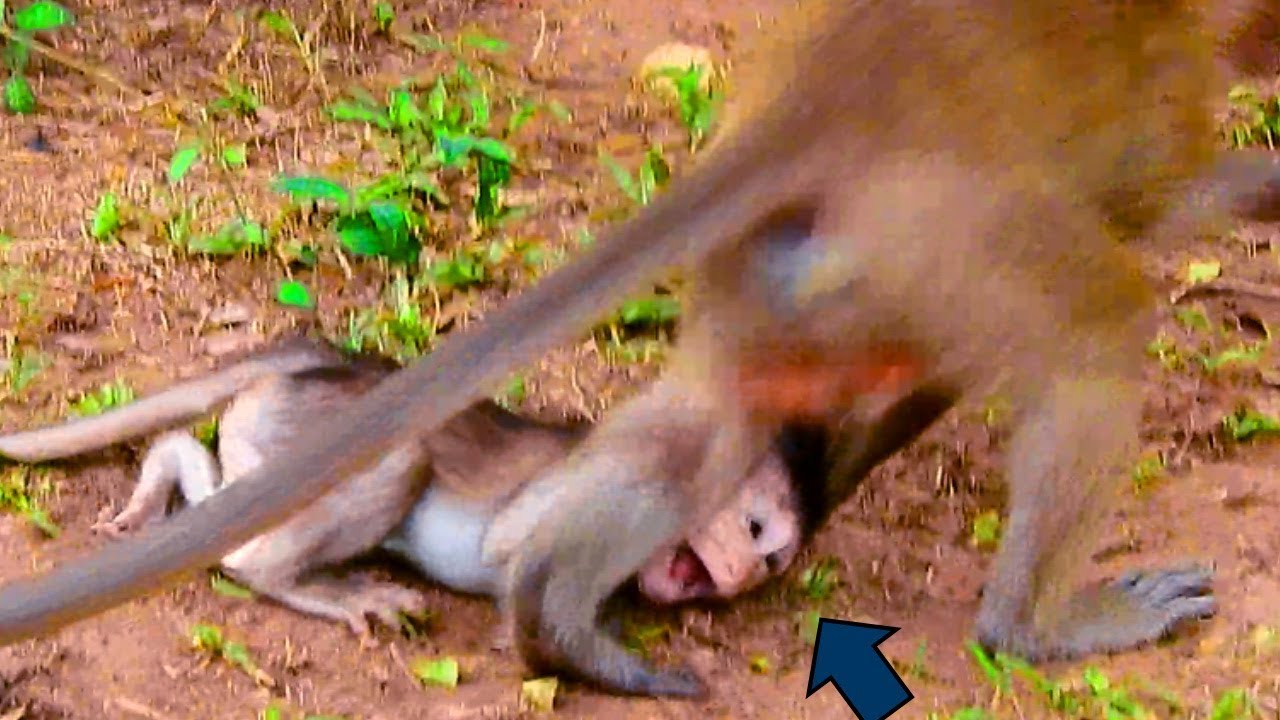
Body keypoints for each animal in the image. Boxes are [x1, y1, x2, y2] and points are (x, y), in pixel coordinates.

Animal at [1, 337, 805, 636]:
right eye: (757, 530)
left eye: (772, 563)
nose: (743, 575)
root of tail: (317, 362)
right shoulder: (622, 472)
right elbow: (514, 542)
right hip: (323, 434)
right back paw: (330, 590)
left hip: (268, 441)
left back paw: (151, 495)